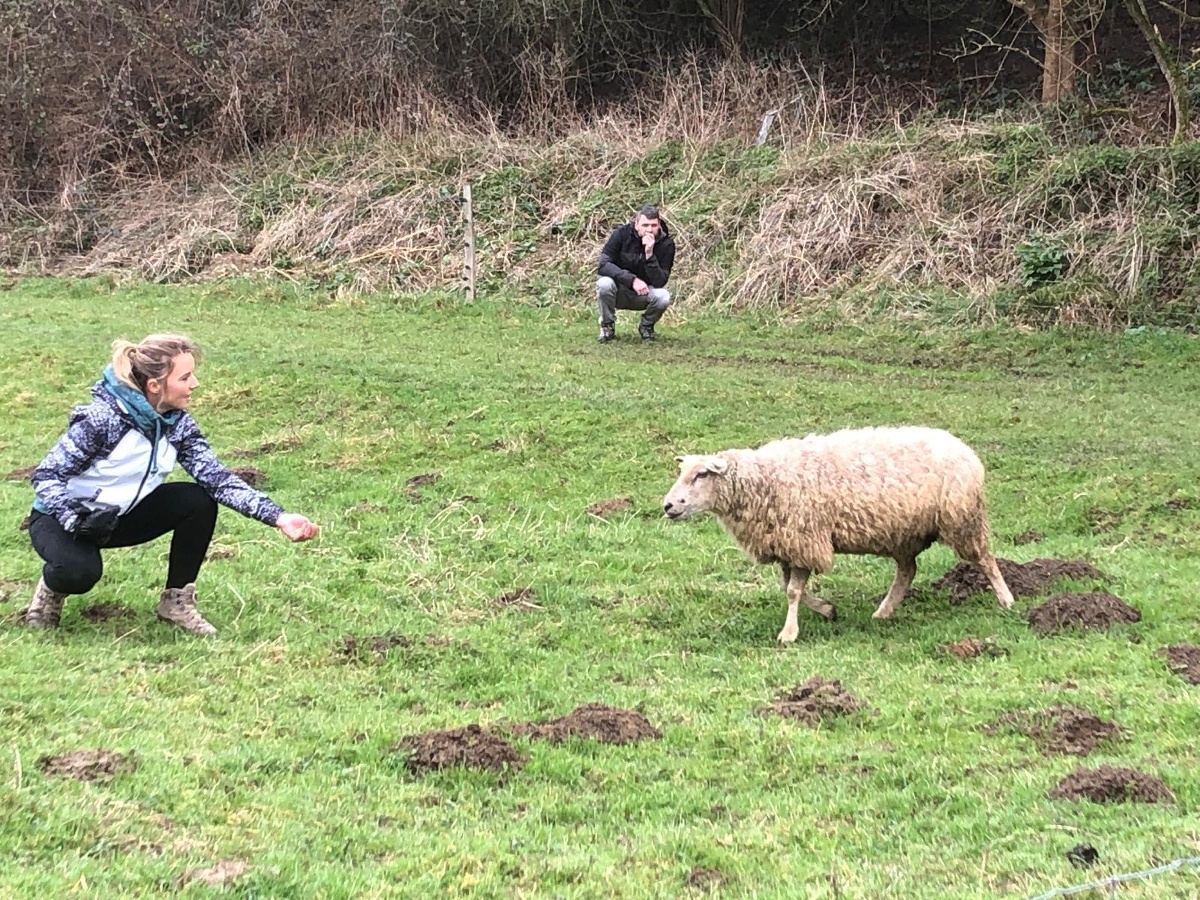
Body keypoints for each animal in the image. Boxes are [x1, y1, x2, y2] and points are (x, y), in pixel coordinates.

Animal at [661, 426, 1014, 642]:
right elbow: (789, 588)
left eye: (702, 474)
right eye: (682, 472)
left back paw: (1007, 600)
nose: (668, 505)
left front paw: (789, 633)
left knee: (985, 558)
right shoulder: (788, 543)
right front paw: (827, 609)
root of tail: (964, 448)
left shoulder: (805, 539)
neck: (764, 480)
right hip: (903, 533)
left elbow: (792, 592)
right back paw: (883, 611)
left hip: (962, 518)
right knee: (907, 571)